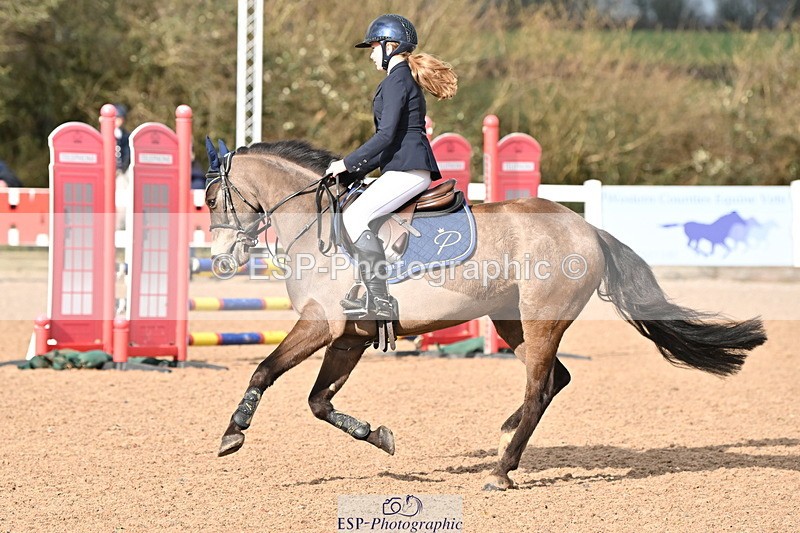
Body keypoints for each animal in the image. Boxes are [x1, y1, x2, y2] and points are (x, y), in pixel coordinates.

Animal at [204, 139, 767, 491]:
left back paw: (502, 469)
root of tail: (586, 227)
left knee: (540, 386)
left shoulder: (321, 325)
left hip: (541, 321)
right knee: (553, 381)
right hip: (512, 323)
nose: (220, 261)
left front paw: (234, 431)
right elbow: (320, 402)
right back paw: (506, 439)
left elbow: (264, 370)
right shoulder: (348, 337)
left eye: (211, 198)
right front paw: (379, 436)